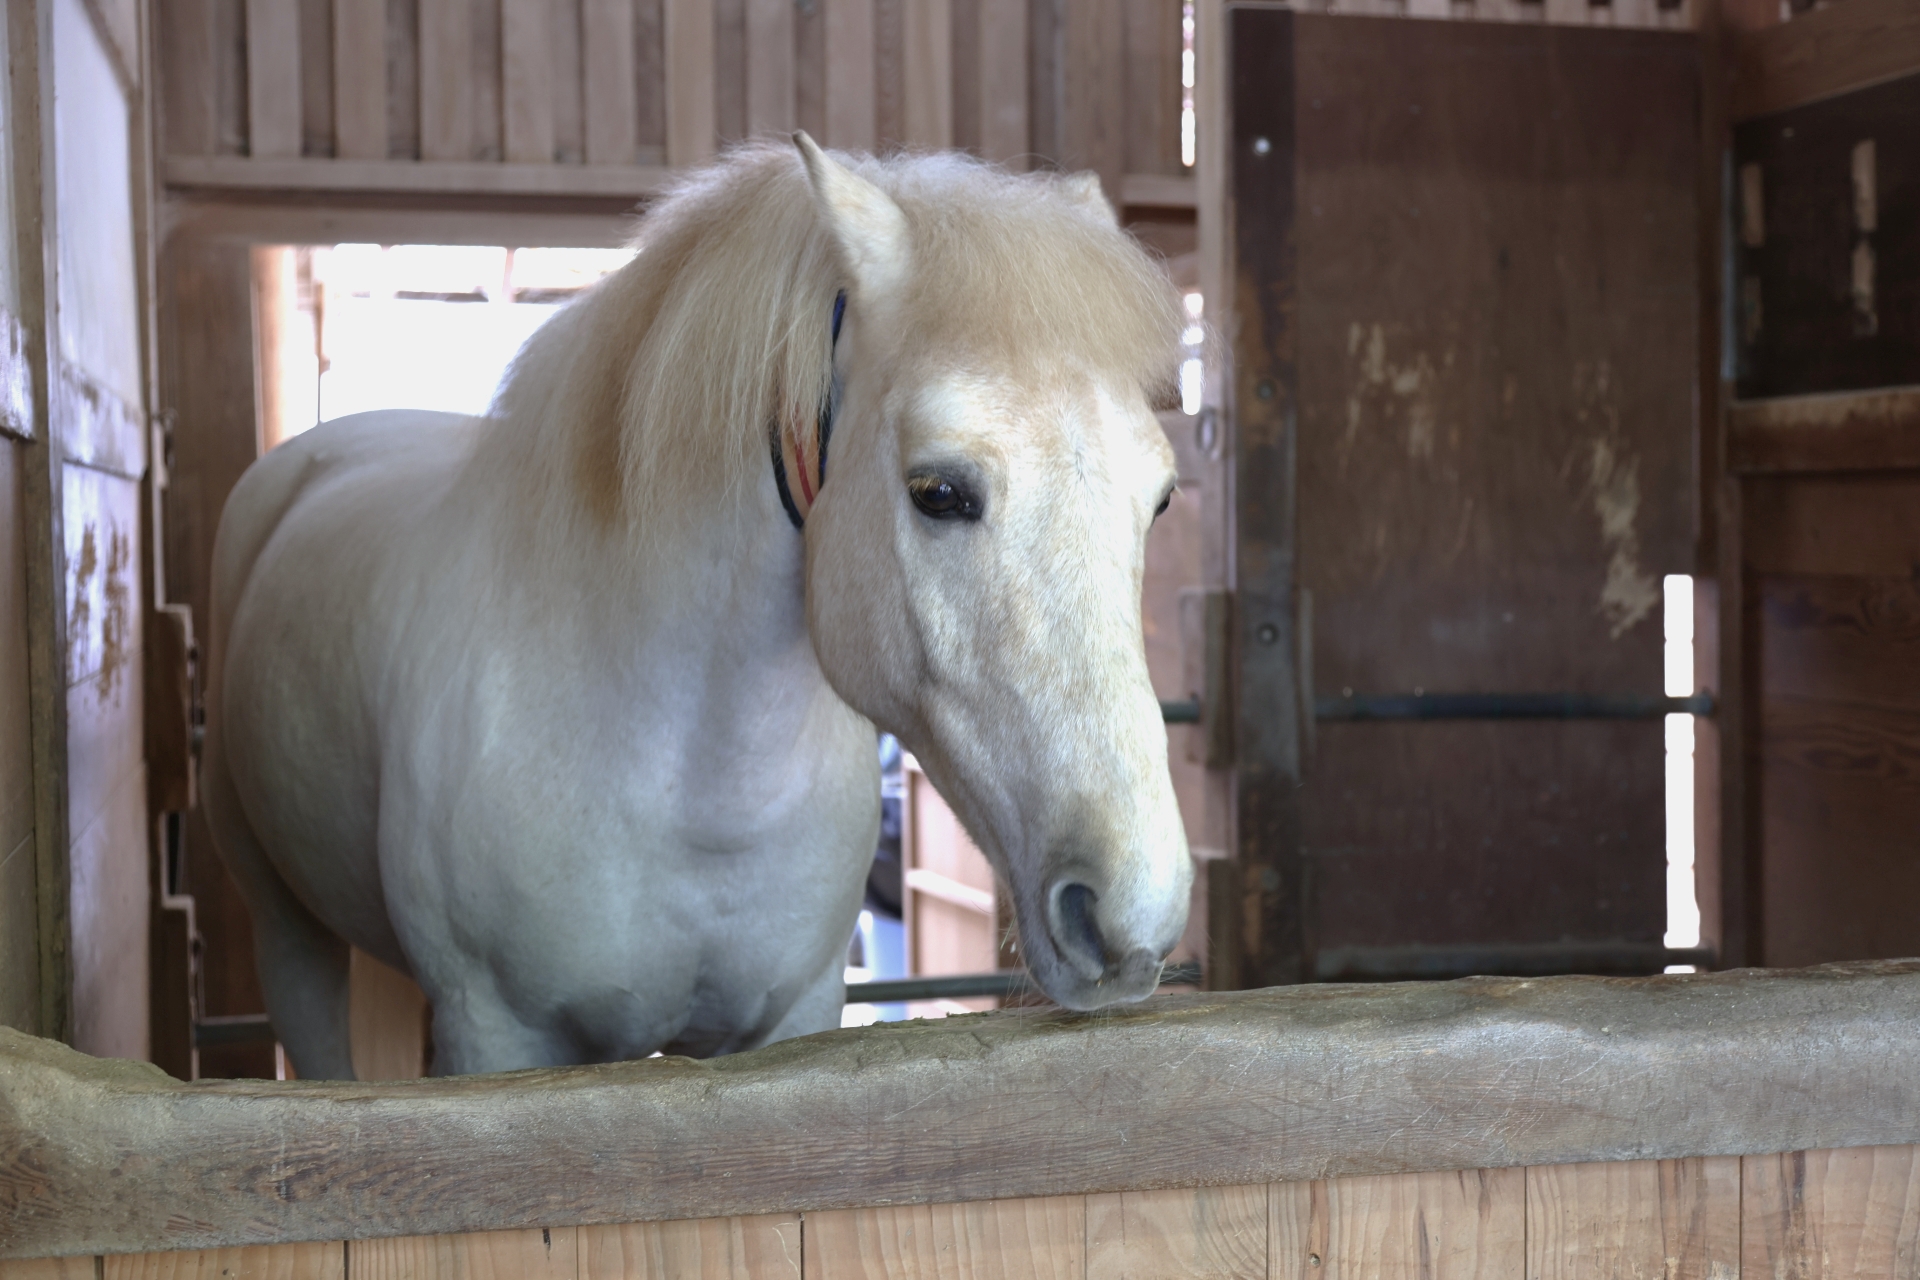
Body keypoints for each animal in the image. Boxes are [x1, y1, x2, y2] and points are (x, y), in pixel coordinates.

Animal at [202, 138, 1190, 1082]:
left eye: (1162, 499)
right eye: (939, 492)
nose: (1132, 911)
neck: (694, 792)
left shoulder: (790, 1021)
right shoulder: (495, 1035)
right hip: (287, 932)